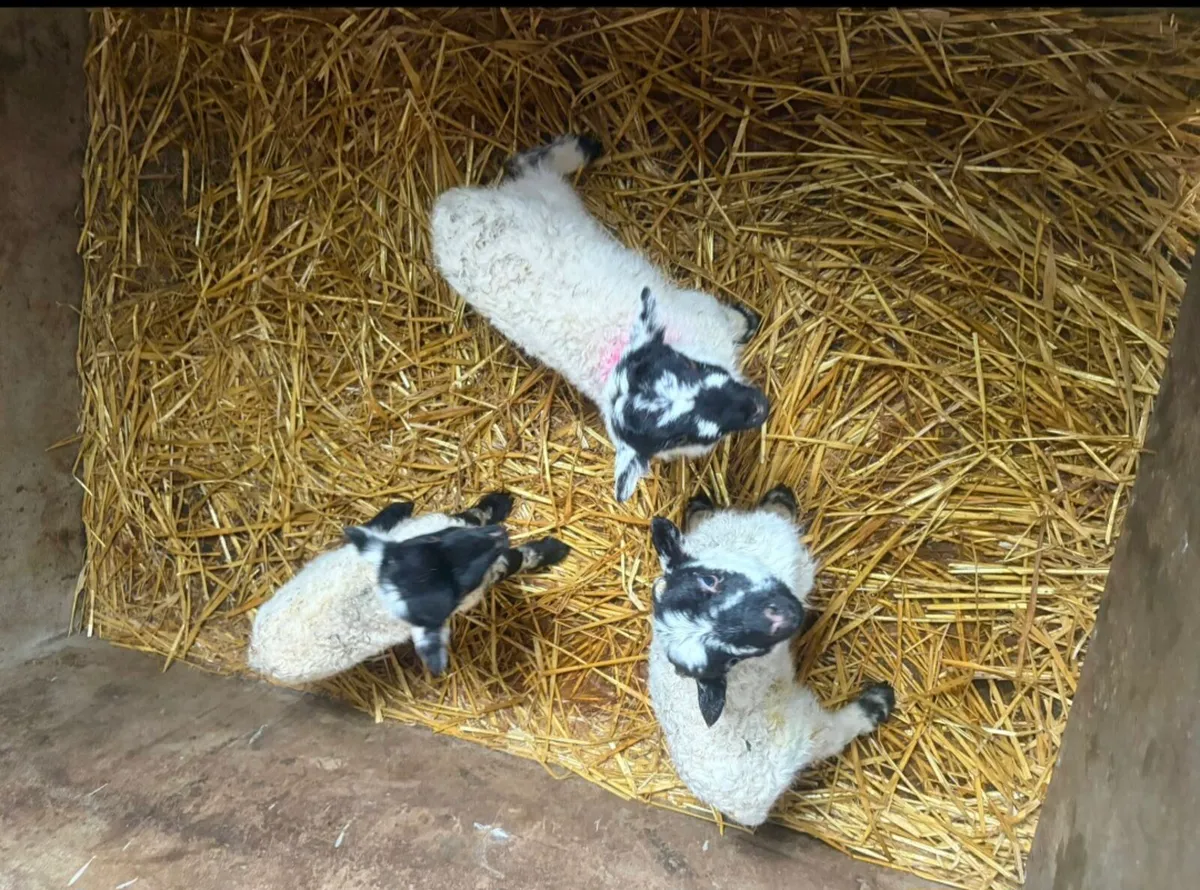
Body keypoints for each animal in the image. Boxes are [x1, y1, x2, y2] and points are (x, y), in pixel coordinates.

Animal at [247, 492, 569, 685]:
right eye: (463, 582)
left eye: (442, 541)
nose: (500, 535)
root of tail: (256, 657)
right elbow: (512, 561)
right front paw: (551, 550)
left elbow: (471, 515)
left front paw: (499, 502)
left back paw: (392, 512)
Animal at [430, 133, 770, 503]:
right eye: (679, 436)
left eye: (691, 367)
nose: (759, 406)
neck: (614, 351)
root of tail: (447, 211)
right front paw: (747, 323)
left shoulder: (701, 311)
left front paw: (746, 321)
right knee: (527, 165)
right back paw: (579, 149)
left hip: (542, 198)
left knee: (523, 165)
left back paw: (580, 149)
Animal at [646, 484, 896, 828]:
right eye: (733, 657)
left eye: (710, 581)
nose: (785, 619)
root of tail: (744, 810)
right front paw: (780, 501)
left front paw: (699, 507)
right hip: (794, 730)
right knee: (828, 735)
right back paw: (876, 703)